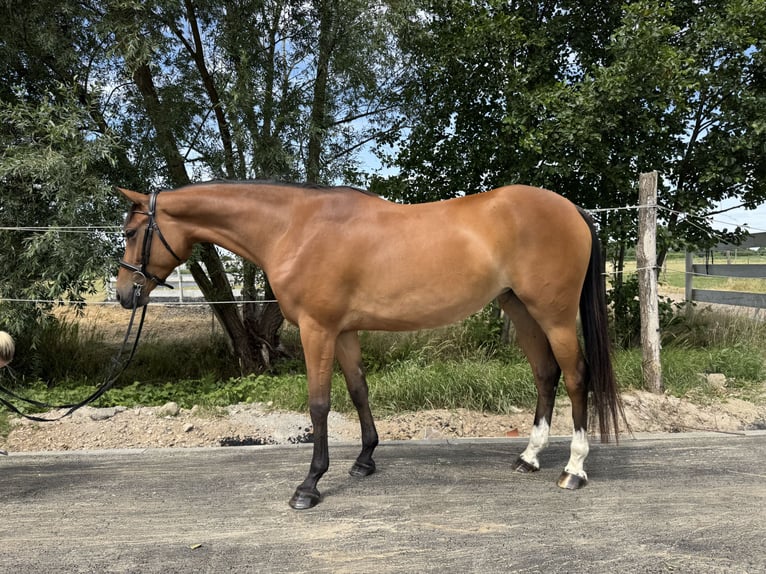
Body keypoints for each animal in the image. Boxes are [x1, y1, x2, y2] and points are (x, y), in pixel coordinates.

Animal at [114, 180, 625, 510]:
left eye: (131, 233)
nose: (124, 295)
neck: (296, 228)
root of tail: (572, 209)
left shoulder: (317, 330)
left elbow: (319, 404)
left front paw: (309, 485)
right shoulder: (343, 332)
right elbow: (359, 390)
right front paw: (363, 461)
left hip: (553, 314)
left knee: (576, 377)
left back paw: (573, 470)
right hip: (520, 310)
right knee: (546, 374)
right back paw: (529, 458)